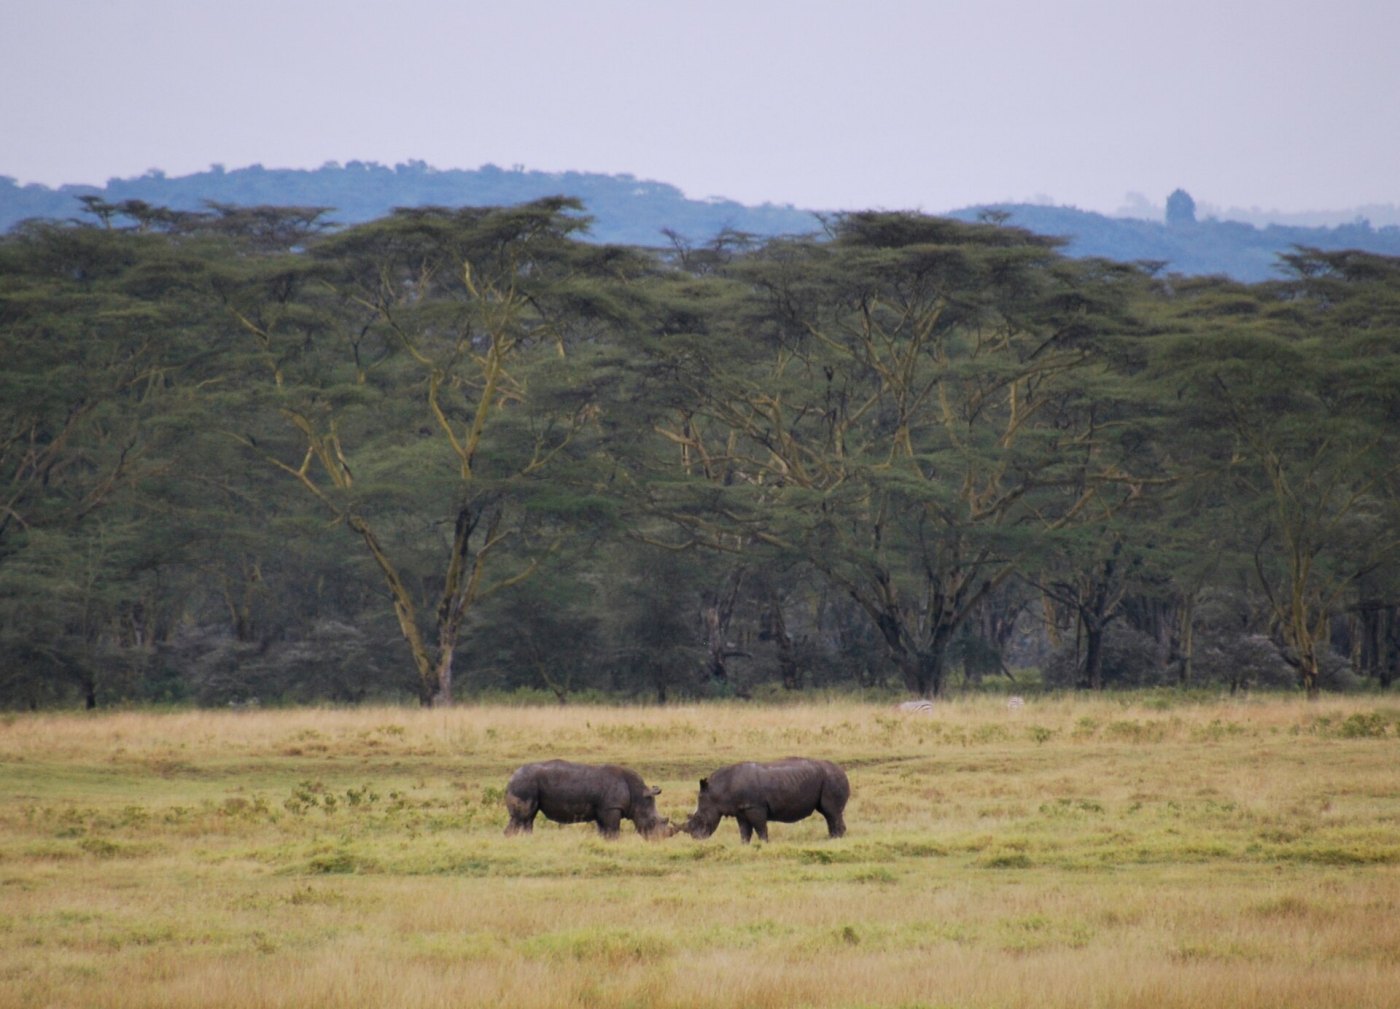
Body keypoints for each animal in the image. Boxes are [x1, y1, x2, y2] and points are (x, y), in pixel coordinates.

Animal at [503, 759, 672, 839]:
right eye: (652, 822)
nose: (659, 839)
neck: (639, 794)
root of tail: (511, 777)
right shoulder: (612, 807)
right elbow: (613, 831)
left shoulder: (604, 809)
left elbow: (604, 832)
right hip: (524, 783)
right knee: (521, 817)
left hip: (526, 784)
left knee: (528, 819)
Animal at [679, 757, 850, 843]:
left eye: (699, 818)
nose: (696, 839)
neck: (719, 790)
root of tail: (843, 771)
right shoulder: (741, 809)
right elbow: (744, 831)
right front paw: (744, 846)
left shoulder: (755, 806)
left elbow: (761, 828)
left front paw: (764, 844)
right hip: (827, 778)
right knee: (828, 814)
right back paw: (832, 840)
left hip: (832, 778)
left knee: (831, 811)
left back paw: (836, 841)